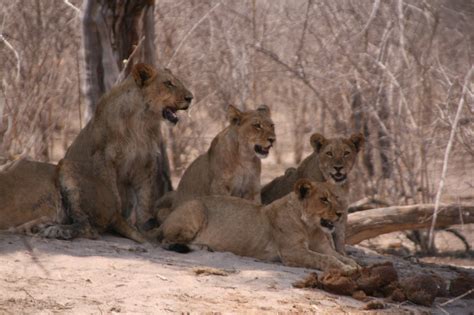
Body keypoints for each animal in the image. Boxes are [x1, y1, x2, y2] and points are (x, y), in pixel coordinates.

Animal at [156, 180, 360, 274]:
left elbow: (341, 257)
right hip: (195, 208)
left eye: (336, 197)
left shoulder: (323, 247)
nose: (341, 213)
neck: (311, 227)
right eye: (324, 199)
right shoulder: (292, 252)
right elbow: (327, 260)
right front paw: (347, 270)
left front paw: (355, 266)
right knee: (165, 241)